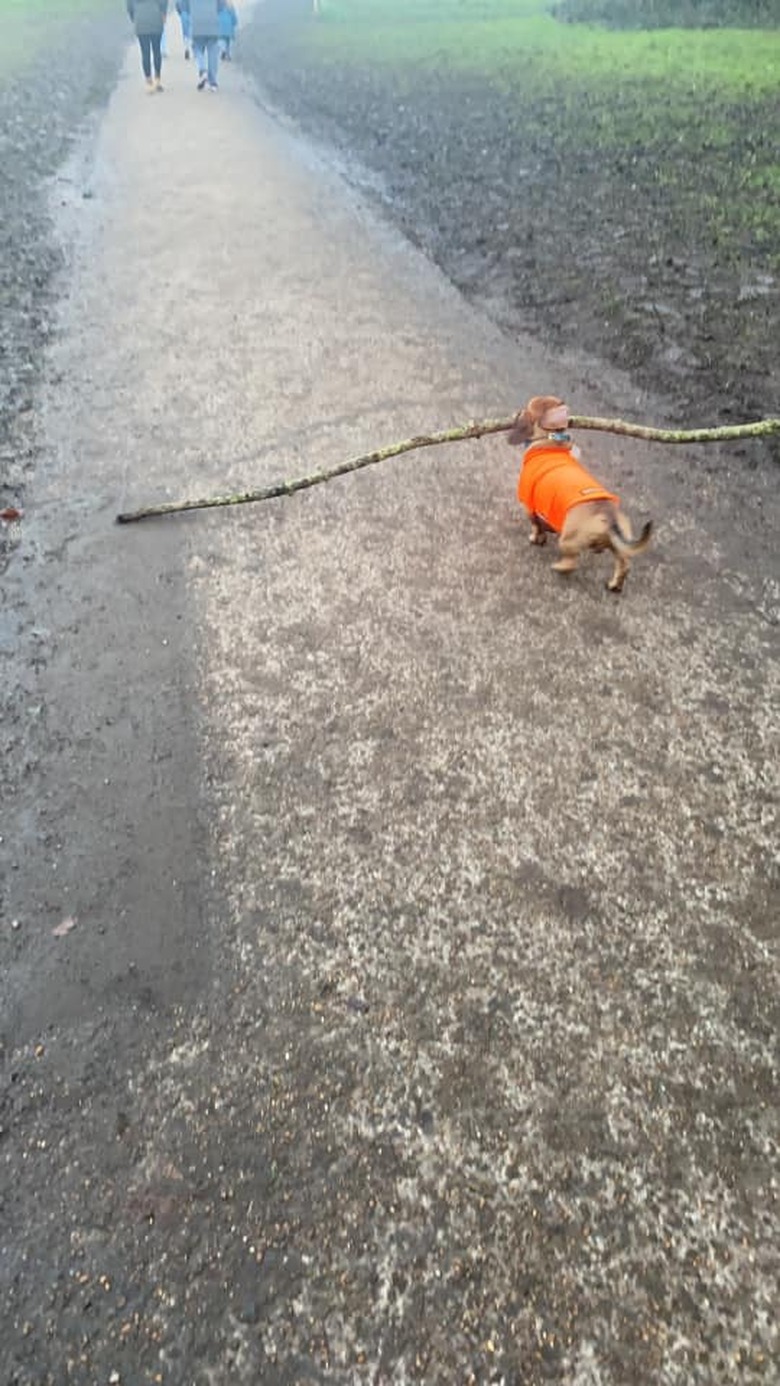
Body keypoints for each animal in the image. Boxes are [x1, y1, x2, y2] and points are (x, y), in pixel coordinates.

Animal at [507, 393, 653, 593]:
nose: (515, 414)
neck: (550, 440)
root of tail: (609, 516)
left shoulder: (529, 506)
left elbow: (536, 526)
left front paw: (536, 539)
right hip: (619, 543)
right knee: (624, 564)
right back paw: (614, 584)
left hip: (568, 540)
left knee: (571, 562)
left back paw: (559, 567)